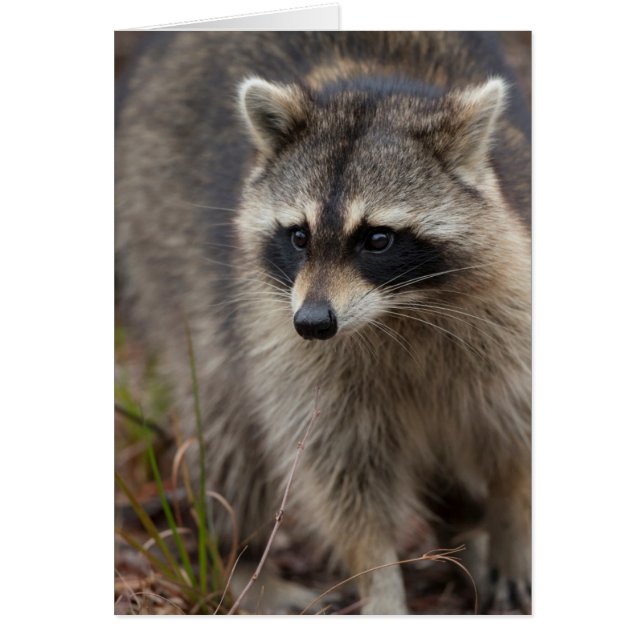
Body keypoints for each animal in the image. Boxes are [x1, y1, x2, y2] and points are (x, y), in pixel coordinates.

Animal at [116, 32, 531, 614]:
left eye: (377, 239)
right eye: (299, 236)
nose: (313, 323)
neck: (398, 310)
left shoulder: (509, 311)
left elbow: (514, 440)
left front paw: (512, 525)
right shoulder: (288, 347)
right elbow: (343, 481)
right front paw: (381, 586)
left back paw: (467, 528)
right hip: (166, 251)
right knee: (227, 425)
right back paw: (246, 561)